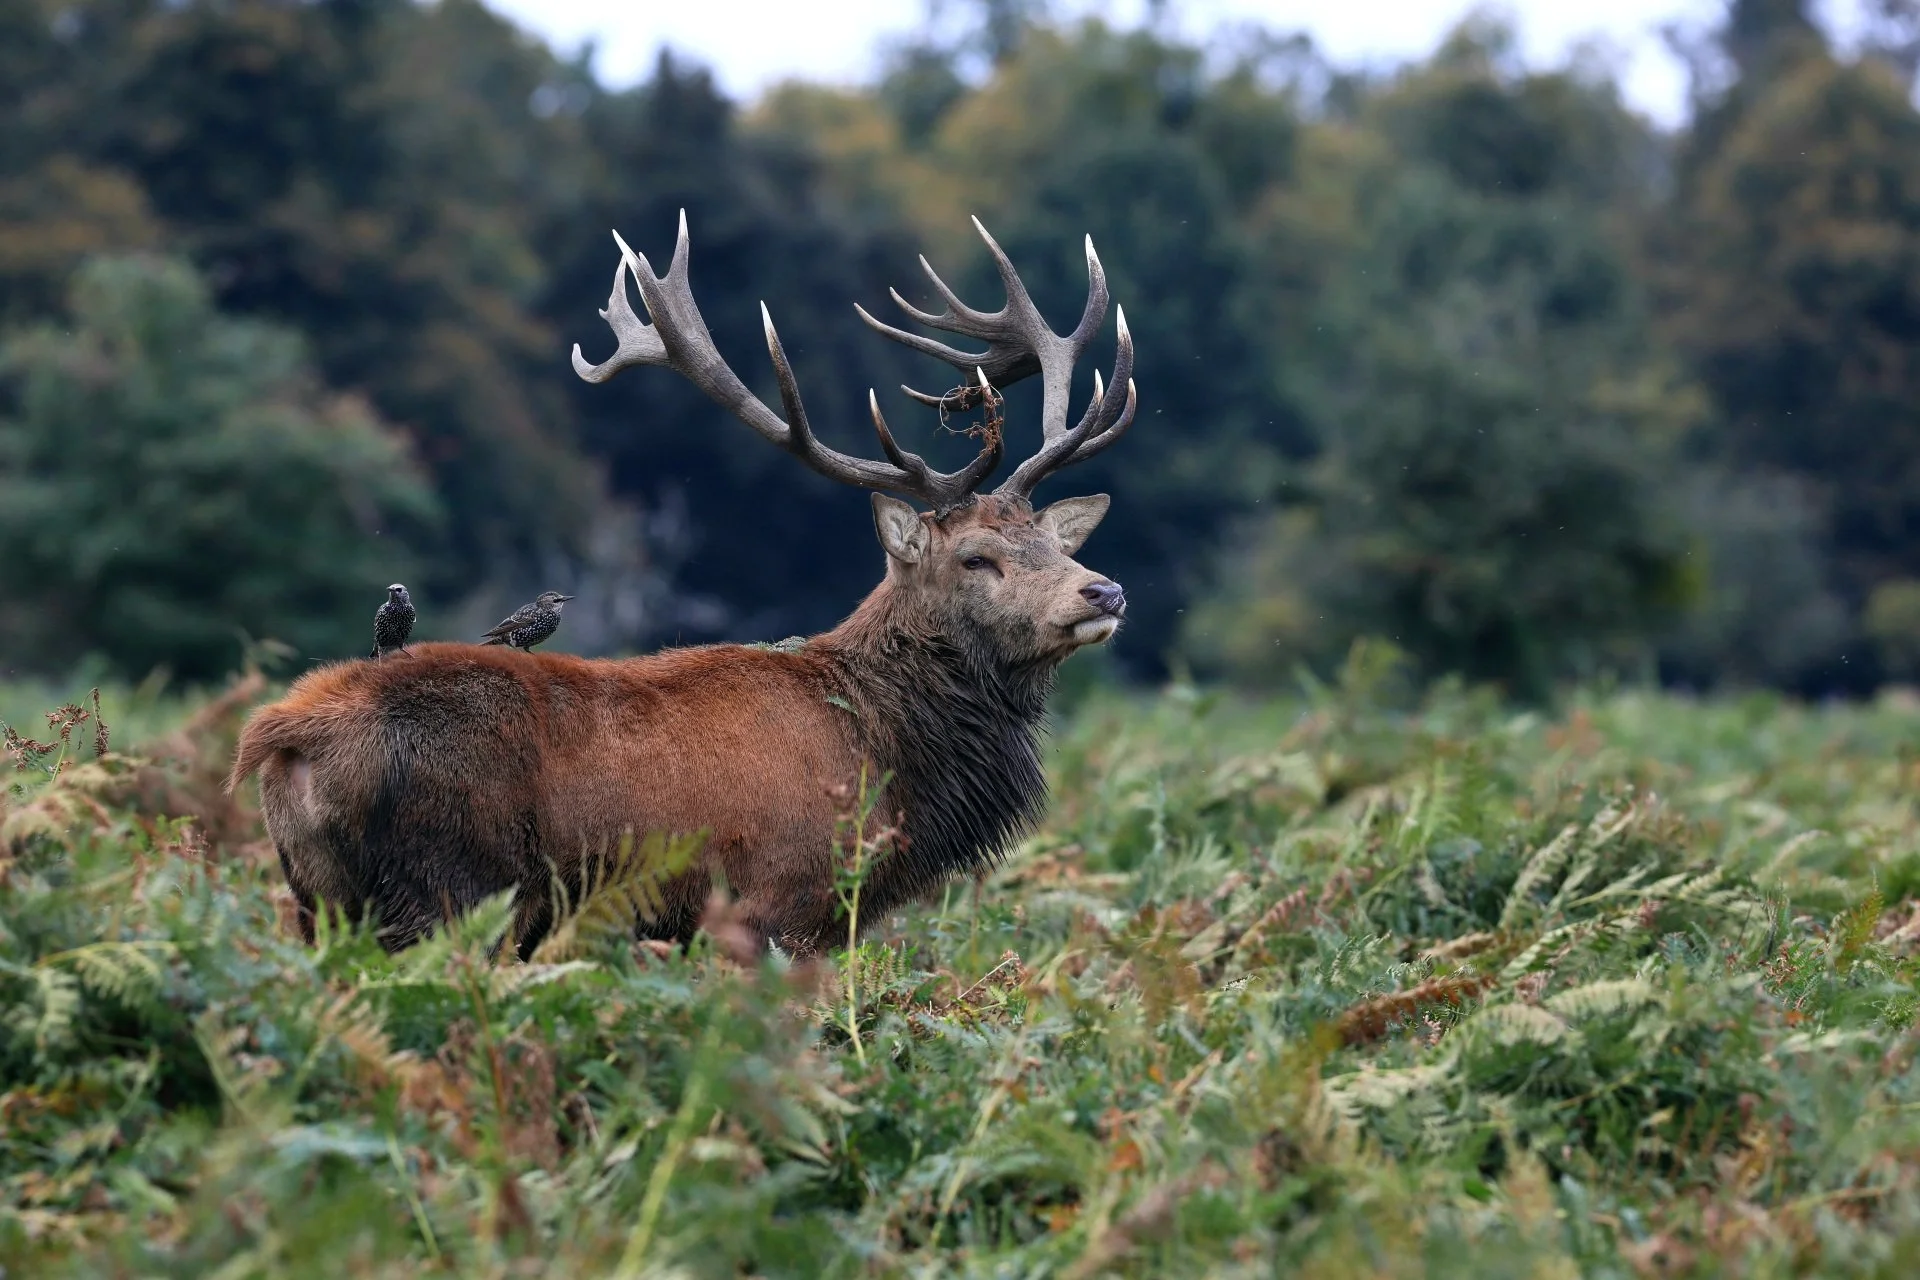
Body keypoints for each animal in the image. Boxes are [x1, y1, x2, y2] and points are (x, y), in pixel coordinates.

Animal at [228, 211, 1137, 958]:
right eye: (976, 557)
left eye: (1049, 541)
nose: (1104, 592)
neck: (887, 761)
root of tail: (281, 736)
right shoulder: (779, 900)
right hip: (443, 888)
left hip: (321, 901)